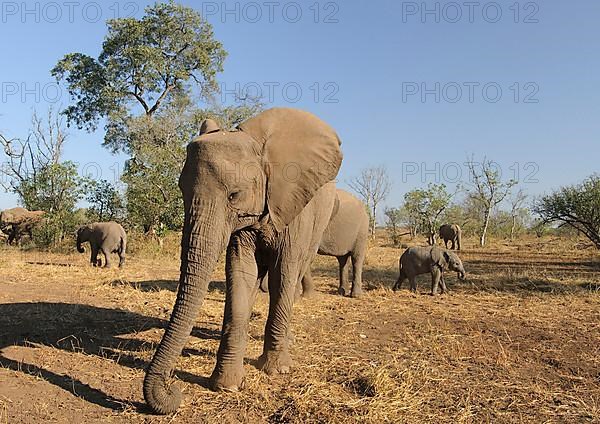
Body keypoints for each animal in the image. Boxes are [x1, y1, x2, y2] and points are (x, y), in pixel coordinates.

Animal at [143, 107, 344, 414]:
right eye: (182, 192)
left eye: (234, 195)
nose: (172, 389)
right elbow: (240, 273)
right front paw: (227, 385)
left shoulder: (293, 204)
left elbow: (283, 274)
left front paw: (276, 370)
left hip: (319, 220)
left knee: (295, 273)